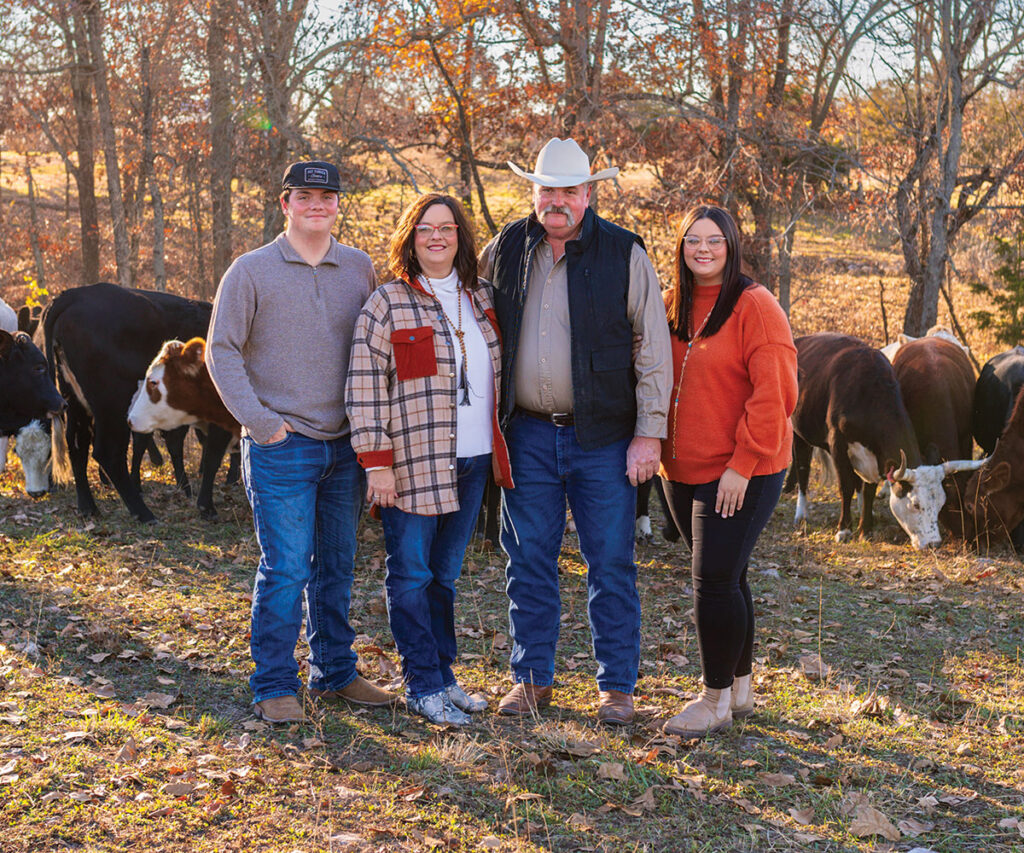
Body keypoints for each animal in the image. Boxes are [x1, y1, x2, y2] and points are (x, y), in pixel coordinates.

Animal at [40, 282, 234, 520]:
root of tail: (73, 295)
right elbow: (213, 454)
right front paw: (207, 505)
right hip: (113, 403)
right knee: (108, 452)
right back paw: (143, 512)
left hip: (75, 400)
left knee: (78, 445)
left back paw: (88, 507)